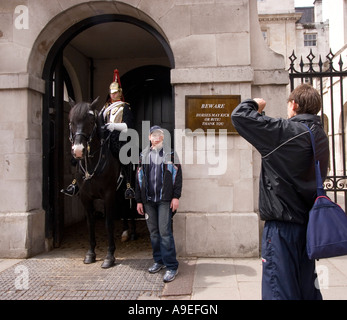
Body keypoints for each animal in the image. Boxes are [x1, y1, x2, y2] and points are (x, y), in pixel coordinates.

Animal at [68, 97, 121, 268]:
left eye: (90, 121)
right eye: (71, 121)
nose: (78, 151)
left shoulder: (109, 194)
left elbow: (108, 223)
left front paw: (109, 256)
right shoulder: (85, 196)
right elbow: (90, 223)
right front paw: (90, 253)